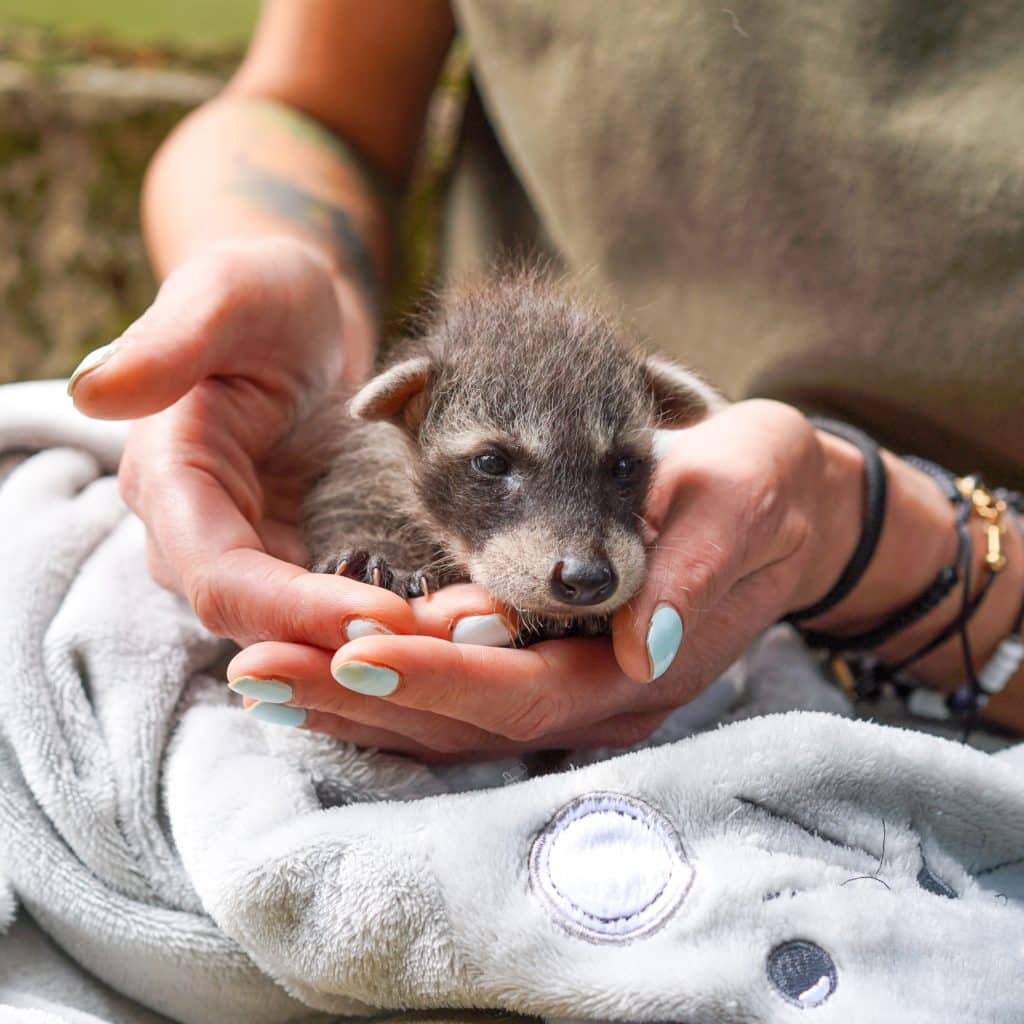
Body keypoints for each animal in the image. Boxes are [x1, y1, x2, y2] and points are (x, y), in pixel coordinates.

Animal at [301, 272, 720, 638]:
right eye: (492, 463)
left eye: (623, 466)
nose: (586, 578)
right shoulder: (371, 459)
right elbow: (351, 501)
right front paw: (383, 548)